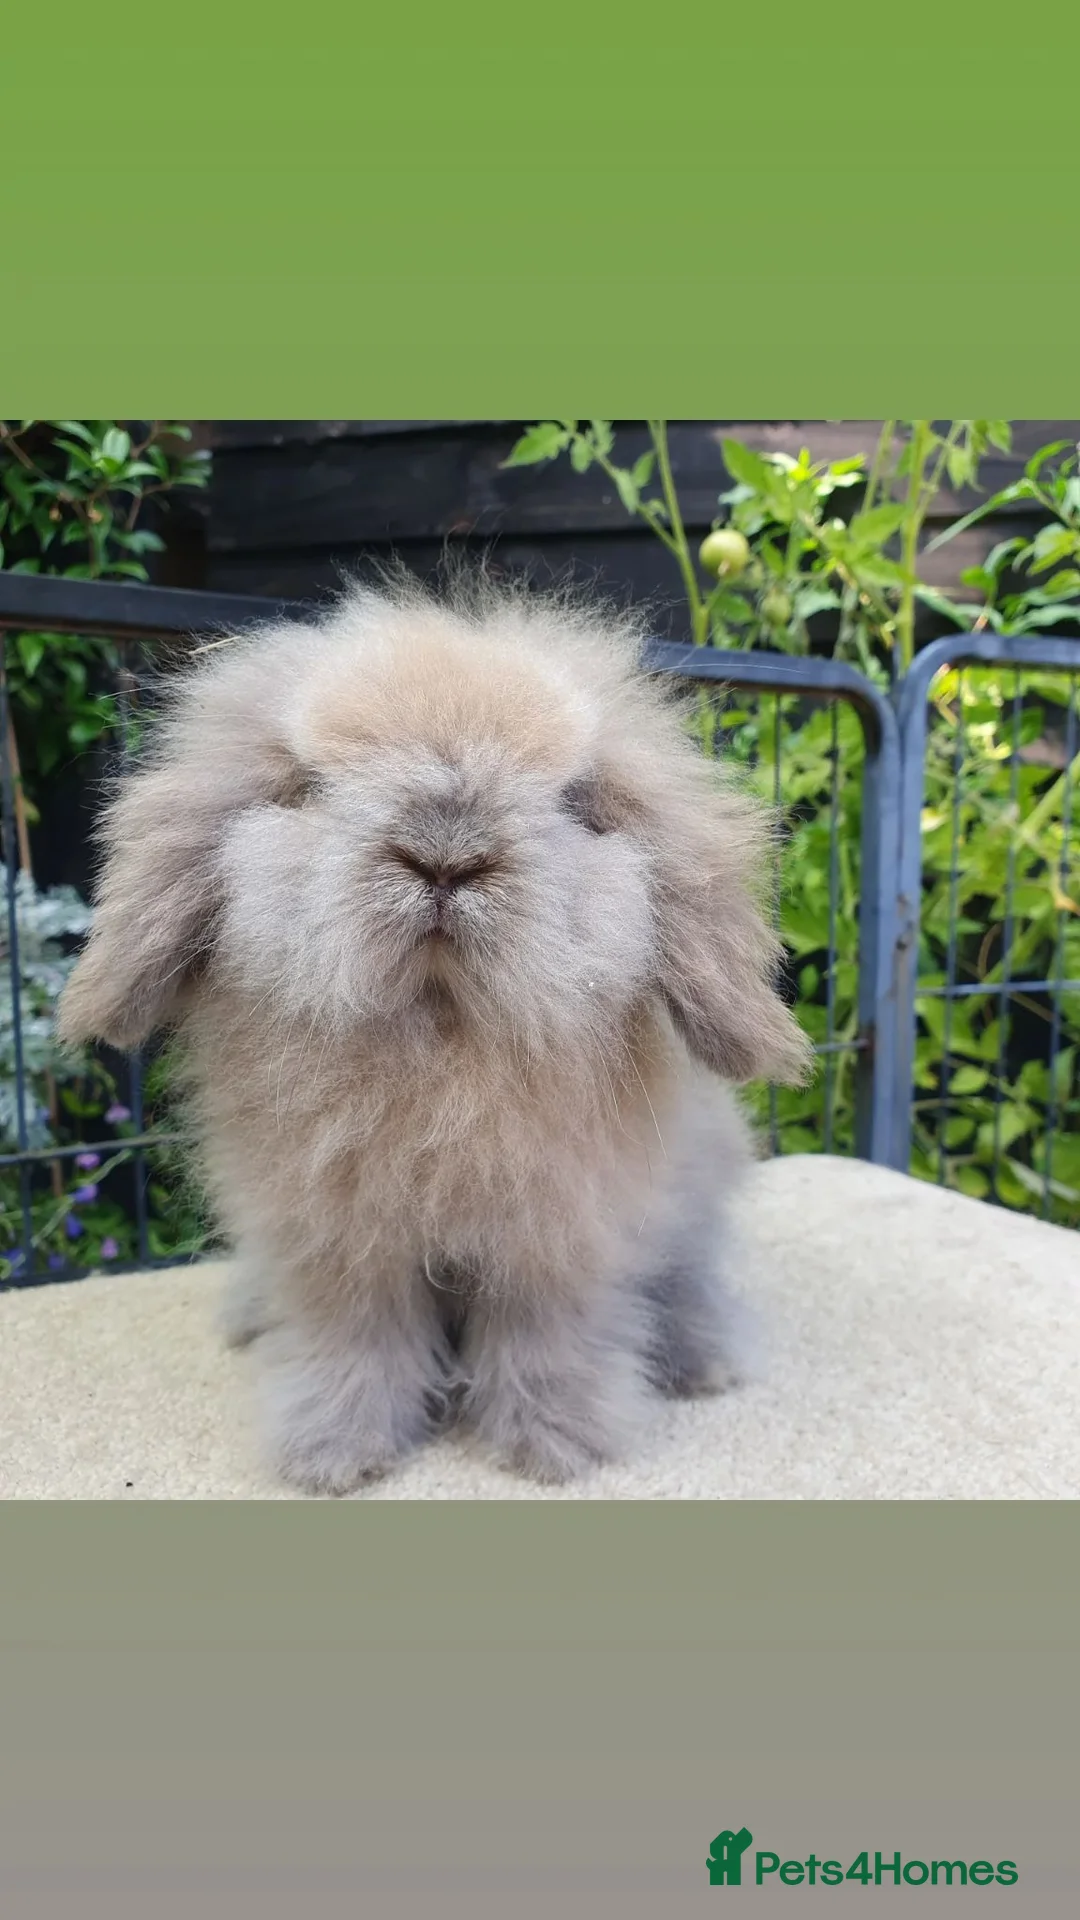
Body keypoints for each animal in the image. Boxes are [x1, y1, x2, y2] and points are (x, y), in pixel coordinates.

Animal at [58, 567, 812, 1493]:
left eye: (575, 802)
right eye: (309, 788)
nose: (445, 856)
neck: (441, 1036)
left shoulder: (559, 1240)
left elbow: (544, 1336)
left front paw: (553, 1445)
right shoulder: (338, 1248)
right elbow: (357, 1342)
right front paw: (337, 1454)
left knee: (693, 1281)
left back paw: (705, 1363)